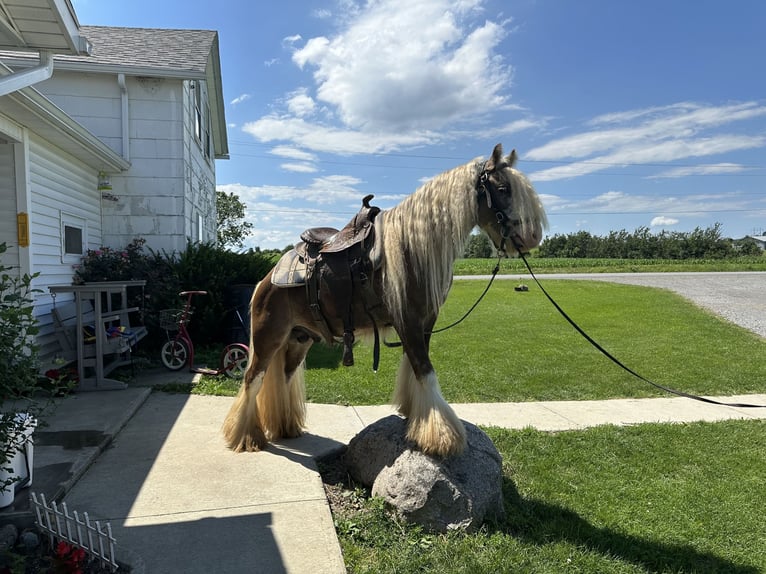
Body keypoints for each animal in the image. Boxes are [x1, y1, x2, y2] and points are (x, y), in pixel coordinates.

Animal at [222, 143, 548, 458]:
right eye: (503, 188)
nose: (532, 238)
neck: (412, 247)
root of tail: (266, 280)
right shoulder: (410, 323)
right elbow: (425, 372)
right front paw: (442, 437)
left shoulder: (424, 325)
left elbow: (415, 370)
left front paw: (415, 417)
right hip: (268, 337)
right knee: (252, 379)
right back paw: (245, 436)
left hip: (298, 340)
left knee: (285, 378)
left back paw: (286, 426)